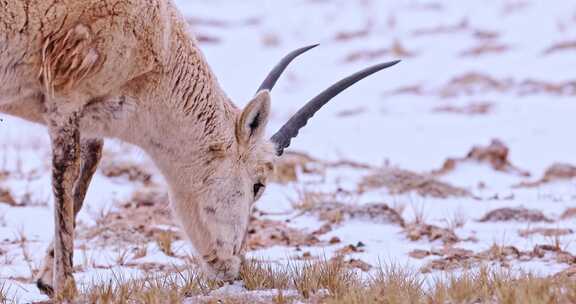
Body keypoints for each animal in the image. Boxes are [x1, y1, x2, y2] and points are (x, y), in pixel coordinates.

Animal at [0, 0, 398, 300]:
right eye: (258, 185)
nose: (231, 269)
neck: (161, 40)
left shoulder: (89, 114)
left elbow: (88, 168)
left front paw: (46, 280)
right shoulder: (67, 97)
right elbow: (67, 171)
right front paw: (67, 289)